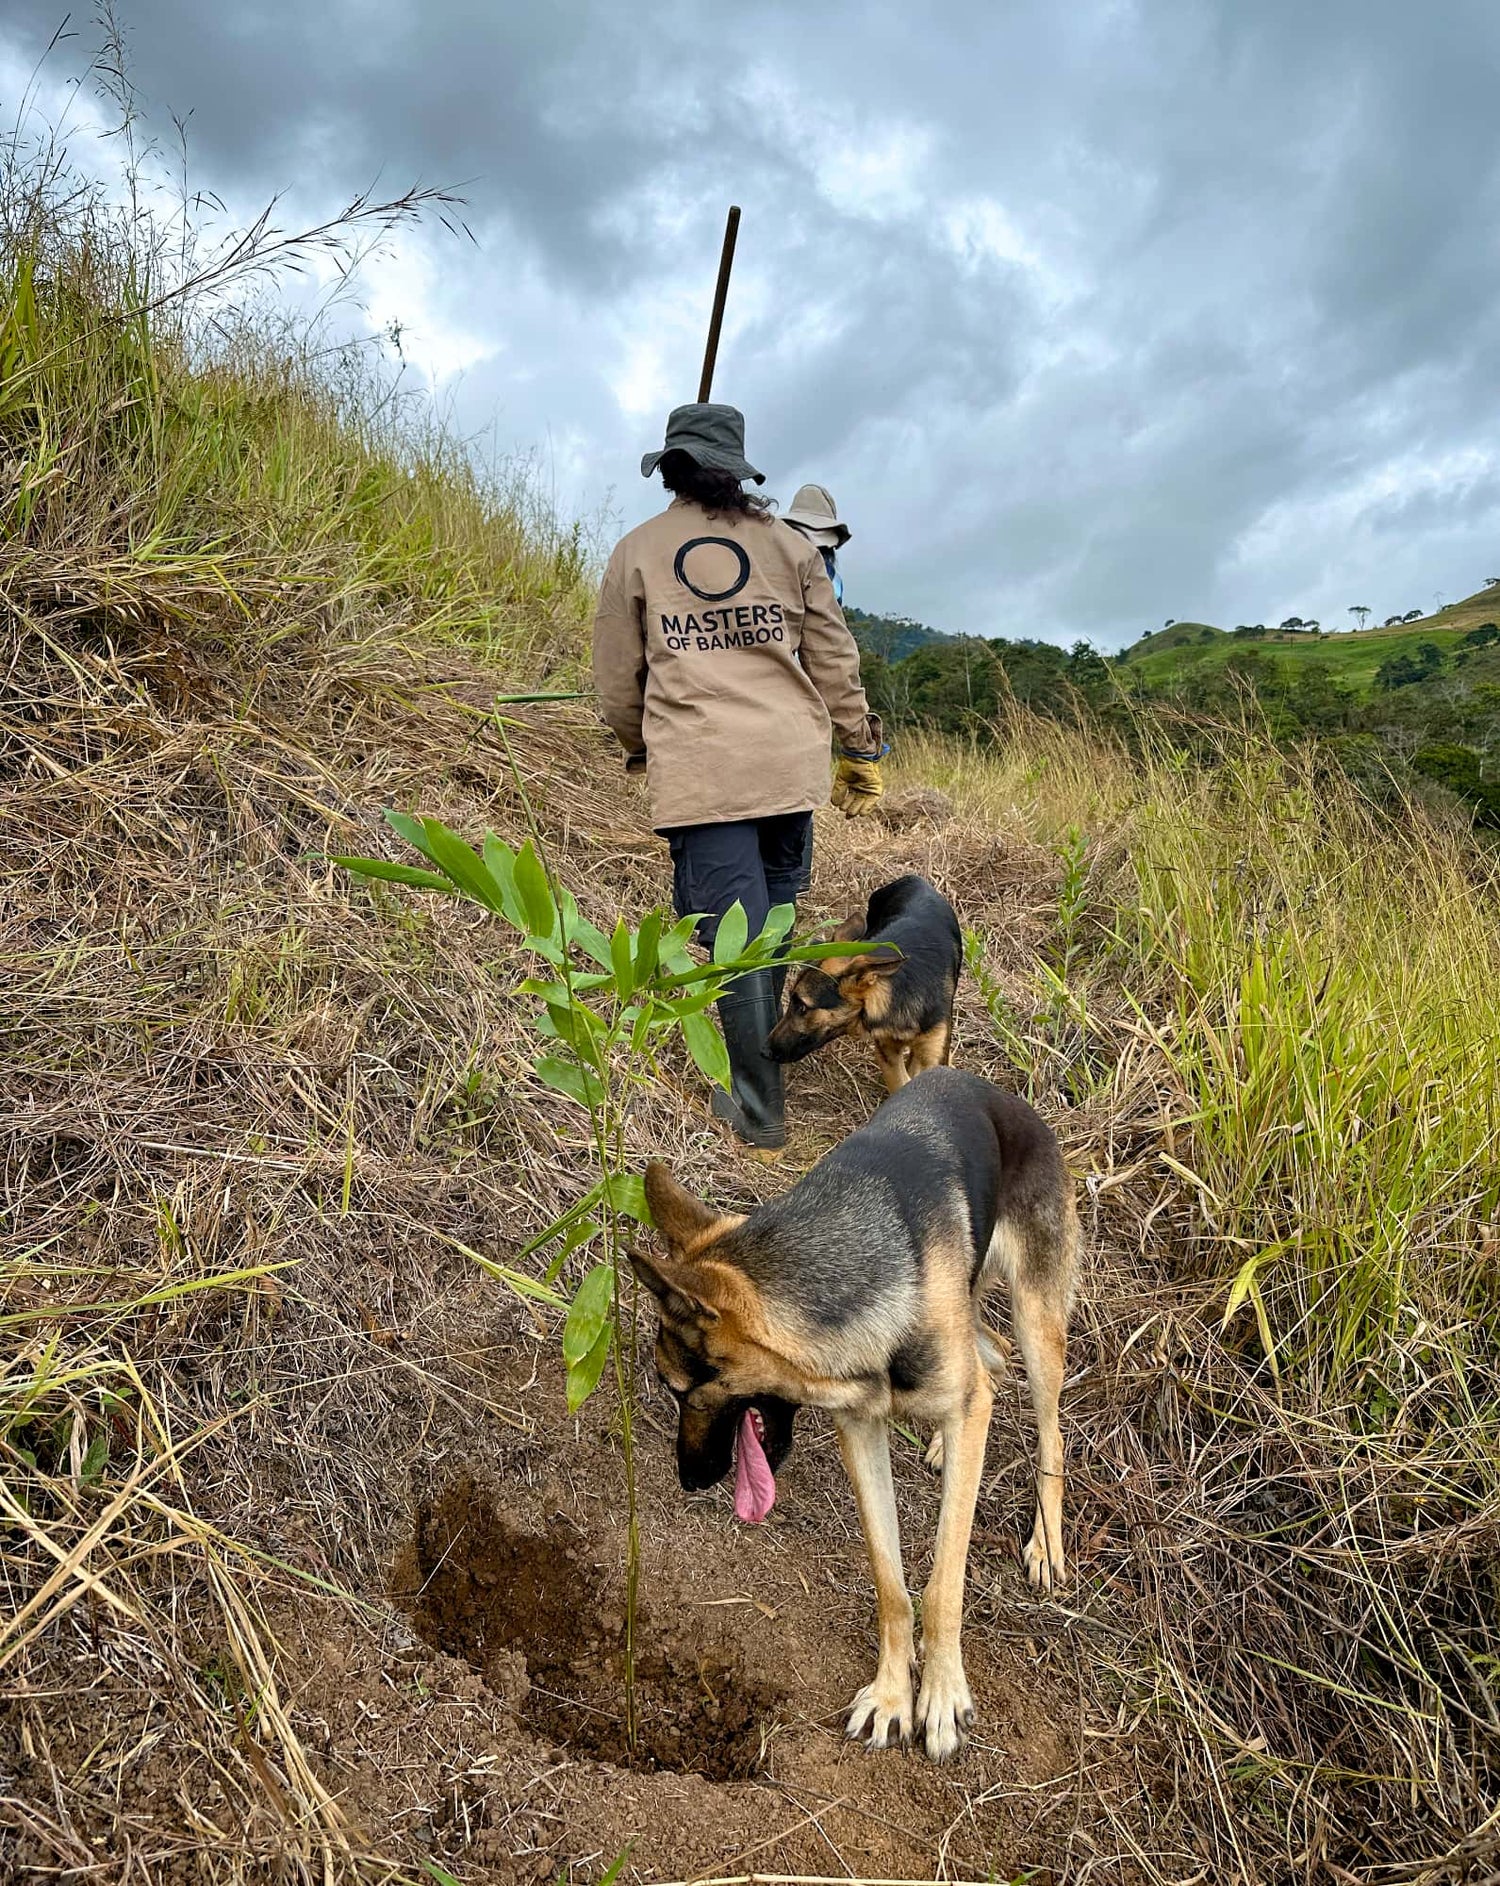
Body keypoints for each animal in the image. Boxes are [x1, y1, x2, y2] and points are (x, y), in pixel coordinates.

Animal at [633, 1071, 1079, 1757]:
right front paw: (895, 1696)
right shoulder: (861, 1429)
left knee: (1046, 1425)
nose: (688, 1478)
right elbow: (891, 1584)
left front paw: (941, 1696)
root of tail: (992, 1090)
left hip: (1039, 1322)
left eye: (675, 1387)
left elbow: (943, 1582)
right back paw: (947, 1443)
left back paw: (1046, 1541)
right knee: (990, 1360)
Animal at [769, 871, 966, 1093]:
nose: (764, 1051)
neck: (900, 990)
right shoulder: (887, 1053)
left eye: (802, 1007)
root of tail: (913, 878)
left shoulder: (934, 1053)